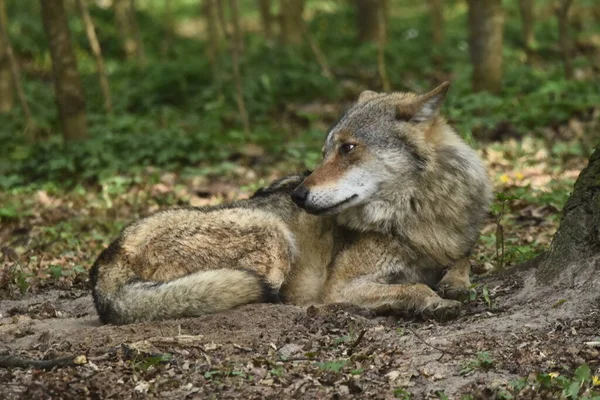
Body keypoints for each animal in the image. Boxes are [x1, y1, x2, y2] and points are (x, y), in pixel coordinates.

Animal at [89, 82, 492, 324]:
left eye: (348, 148)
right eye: (325, 151)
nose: (298, 195)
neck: (418, 216)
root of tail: (111, 254)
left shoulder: (455, 244)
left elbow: (462, 260)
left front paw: (453, 282)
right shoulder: (342, 284)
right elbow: (412, 287)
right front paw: (432, 300)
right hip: (273, 236)